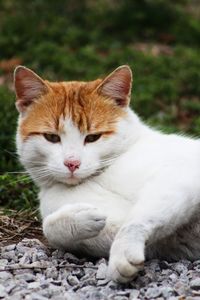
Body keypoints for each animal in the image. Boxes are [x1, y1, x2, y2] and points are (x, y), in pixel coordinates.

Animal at [14, 64, 200, 282]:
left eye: (93, 137)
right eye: (51, 137)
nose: (72, 163)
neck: (98, 179)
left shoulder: (180, 177)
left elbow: (137, 220)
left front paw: (123, 253)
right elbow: (49, 227)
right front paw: (81, 218)